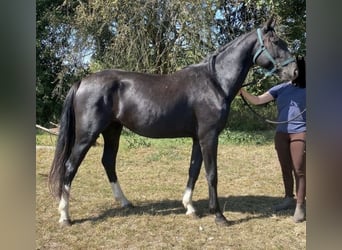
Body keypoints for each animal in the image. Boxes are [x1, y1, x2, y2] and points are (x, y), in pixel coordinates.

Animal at [49, 16, 298, 226]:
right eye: (276, 41)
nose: (295, 72)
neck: (214, 81)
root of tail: (82, 82)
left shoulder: (198, 138)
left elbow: (194, 170)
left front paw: (189, 207)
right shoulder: (209, 136)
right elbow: (212, 174)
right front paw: (219, 216)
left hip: (112, 130)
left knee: (108, 162)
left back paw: (125, 202)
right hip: (87, 135)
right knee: (70, 167)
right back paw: (64, 216)